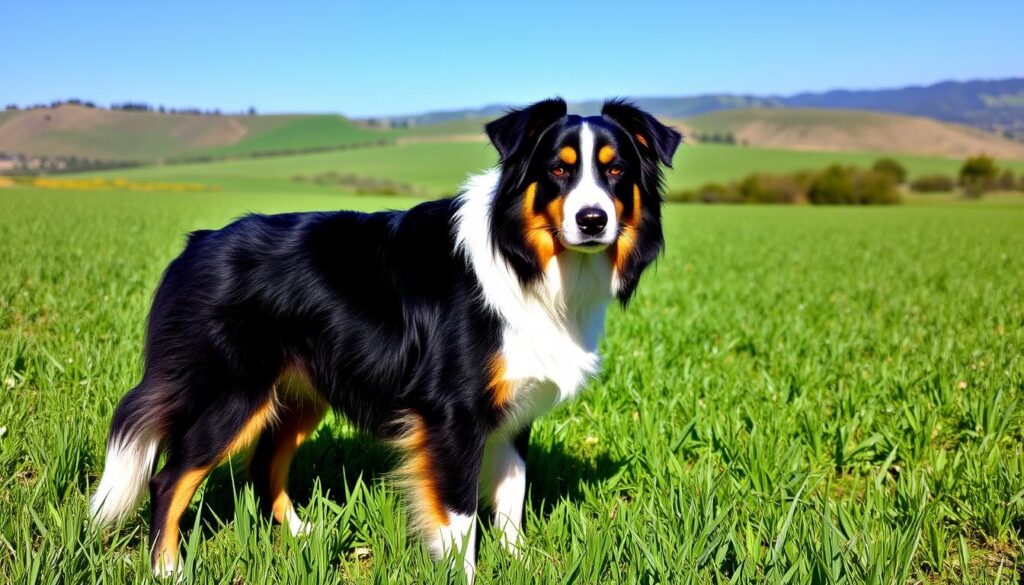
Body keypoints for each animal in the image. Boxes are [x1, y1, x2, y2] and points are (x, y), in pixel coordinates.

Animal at [90, 98, 679, 577]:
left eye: (616, 170)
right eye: (558, 169)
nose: (592, 219)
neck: (530, 262)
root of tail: (196, 245)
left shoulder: (516, 411)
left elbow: (511, 500)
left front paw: (518, 564)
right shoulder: (451, 416)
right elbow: (460, 518)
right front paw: (464, 573)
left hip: (300, 391)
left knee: (263, 465)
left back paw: (304, 536)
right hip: (234, 391)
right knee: (169, 478)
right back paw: (168, 569)